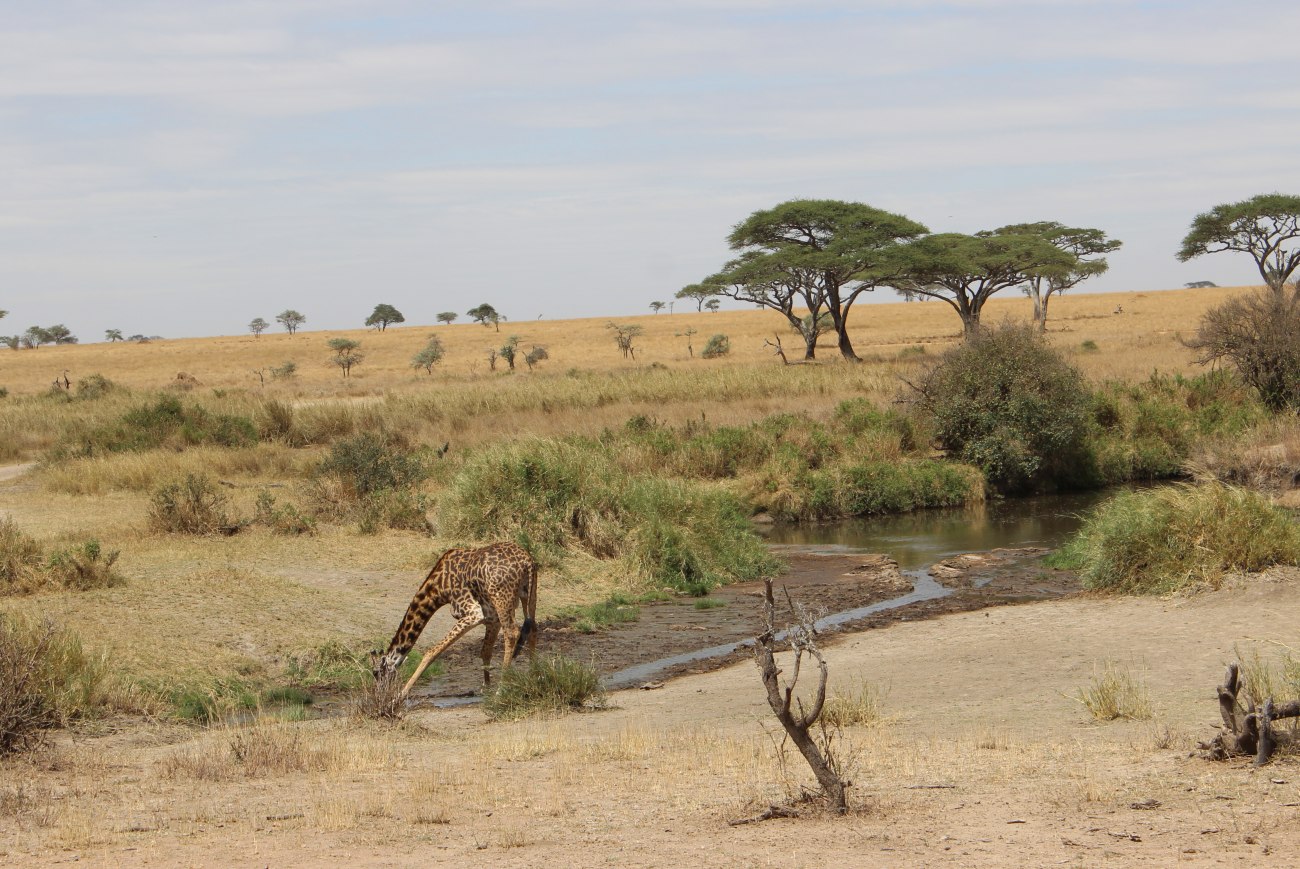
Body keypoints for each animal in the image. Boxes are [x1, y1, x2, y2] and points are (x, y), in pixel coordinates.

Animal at [371, 543, 538, 697]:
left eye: (376, 672)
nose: (379, 694)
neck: (439, 588)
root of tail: (526, 561)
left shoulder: (473, 614)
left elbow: (432, 652)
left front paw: (400, 695)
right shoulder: (492, 617)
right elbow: (485, 651)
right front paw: (486, 686)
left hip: (502, 598)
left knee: (512, 633)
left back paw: (501, 689)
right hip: (527, 594)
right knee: (532, 629)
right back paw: (533, 676)